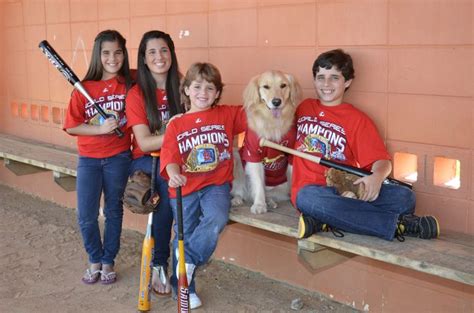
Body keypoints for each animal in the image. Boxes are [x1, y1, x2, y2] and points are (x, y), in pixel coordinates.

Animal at [231, 69, 302, 213]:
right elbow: (258, 183)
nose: (276, 102)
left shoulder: (292, 153)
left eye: (283, 85)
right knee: (241, 190)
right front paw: (259, 204)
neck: (272, 122)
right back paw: (238, 199)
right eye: (266, 87)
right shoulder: (253, 154)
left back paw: (270, 201)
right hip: (236, 158)